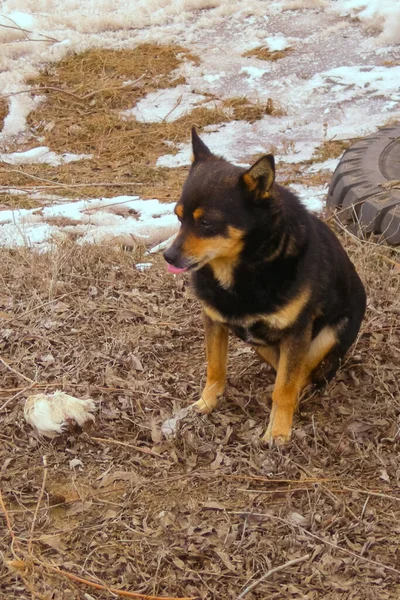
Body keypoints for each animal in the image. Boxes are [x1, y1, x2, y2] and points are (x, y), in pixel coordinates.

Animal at [162, 127, 366, 446]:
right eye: (178, 216)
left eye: (207, 223)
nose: (168, 256)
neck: (242, 270)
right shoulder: (214, 321)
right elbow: (215, 368)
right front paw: (206, 403)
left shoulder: (297, 332)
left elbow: (285, 387)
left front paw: (279, 430)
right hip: (258, 342)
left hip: (330, 334)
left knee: (301, 376)